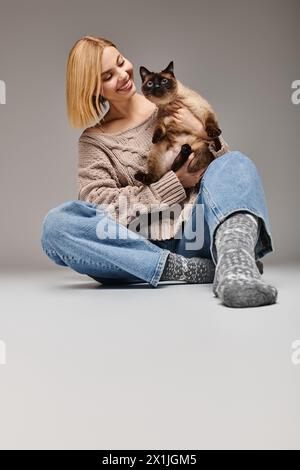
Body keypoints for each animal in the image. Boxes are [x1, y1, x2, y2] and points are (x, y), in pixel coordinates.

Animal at [135, 60, 221, 189]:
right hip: (156, 152)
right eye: (150, 83)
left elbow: (210, 123)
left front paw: (216, 139)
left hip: (201, 148)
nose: (157, 86)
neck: (169, 104)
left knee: (181, 167)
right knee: (159, 176)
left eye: (164, 81)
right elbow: (159, 129)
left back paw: (186, 150)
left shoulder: (202, 109)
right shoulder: (162, 119)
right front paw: (155, 138)